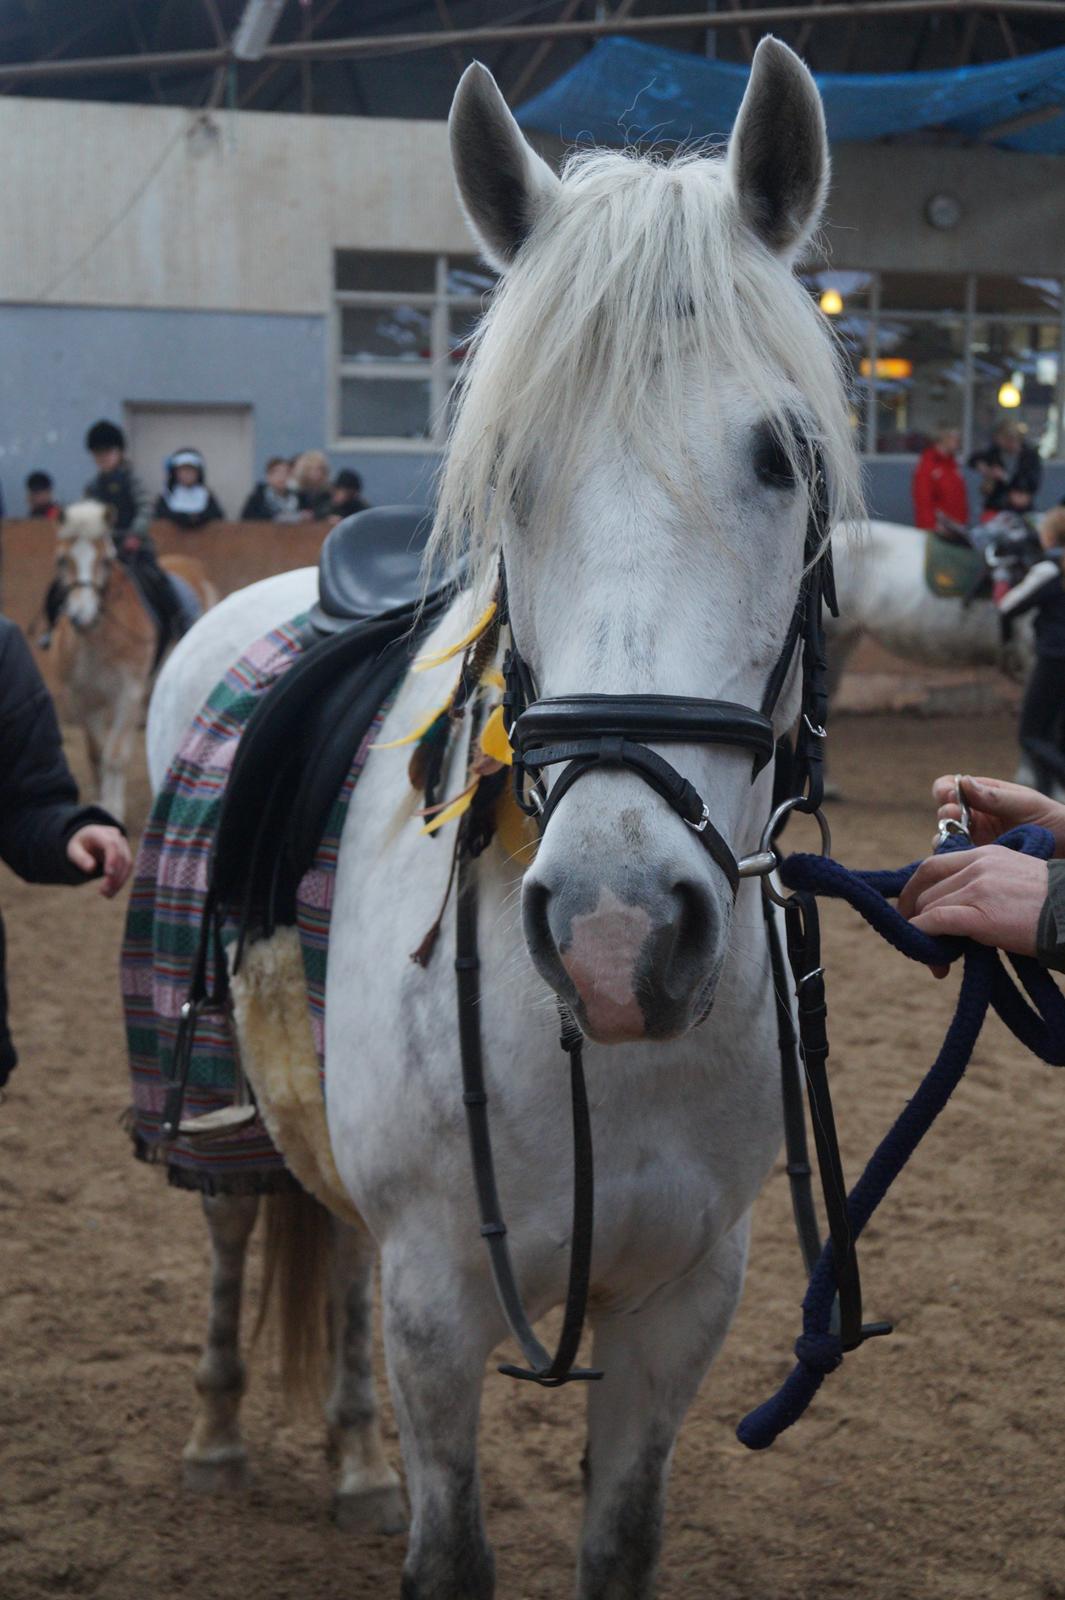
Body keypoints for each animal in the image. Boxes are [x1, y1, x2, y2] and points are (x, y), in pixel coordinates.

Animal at [53, 496, 215, 825]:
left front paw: (113, 809)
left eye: (105, 561)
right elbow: (96, 754)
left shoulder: (126, 694)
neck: (98, 639)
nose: (80, 615)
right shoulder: (83, 699)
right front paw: (102, 802)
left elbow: (114, 755)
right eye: (63, 560)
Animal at [147, 43, 863, 1593]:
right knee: (237, 1222)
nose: (614, 938)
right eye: (508, 471)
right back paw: (219, 1436)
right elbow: (453, 1556)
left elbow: (622, 1543)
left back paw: (352, 1460)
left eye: (781, 457)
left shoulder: (683, 1303)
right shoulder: (440, 1301)